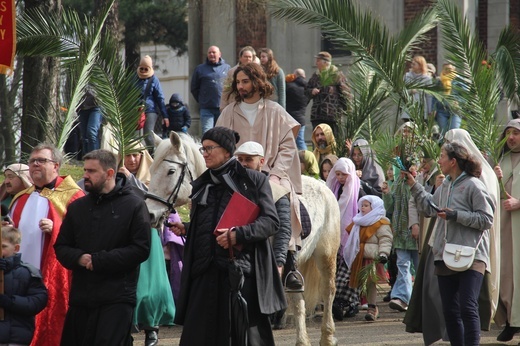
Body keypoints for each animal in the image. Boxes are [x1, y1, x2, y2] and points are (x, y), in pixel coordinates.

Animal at [145, 132, 342, 346]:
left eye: (171, 171)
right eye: (152, 169)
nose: (150, 213)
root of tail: (323, 185)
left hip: (325, 254)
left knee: (328, 291)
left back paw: (328, 336)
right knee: (297, 298)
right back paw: (302, 341)